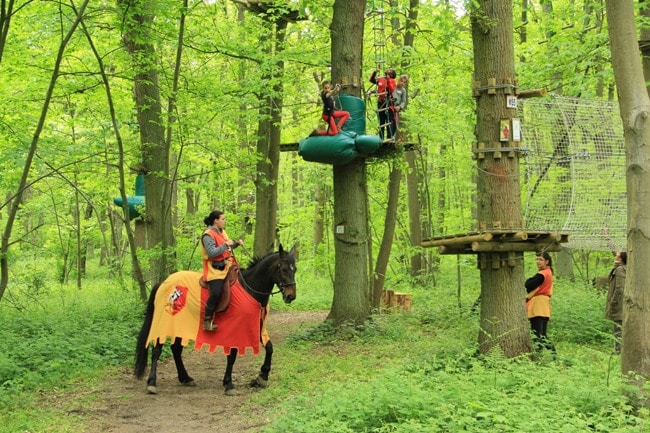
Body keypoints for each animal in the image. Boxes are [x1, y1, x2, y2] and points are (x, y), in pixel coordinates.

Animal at [134, 243, 296, 394]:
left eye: (294, 270)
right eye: (284, 269)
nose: (291, 296)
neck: (249, 288)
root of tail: (163, 283)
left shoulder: (258, 326)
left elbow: (269, 348)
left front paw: (262, 377)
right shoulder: (236, 329)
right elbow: (232, 355)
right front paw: (229, 383)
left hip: (181, 326)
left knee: (176, 349)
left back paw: (185, 378)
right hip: (165, 324)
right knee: (157, 350)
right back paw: (152, 383)